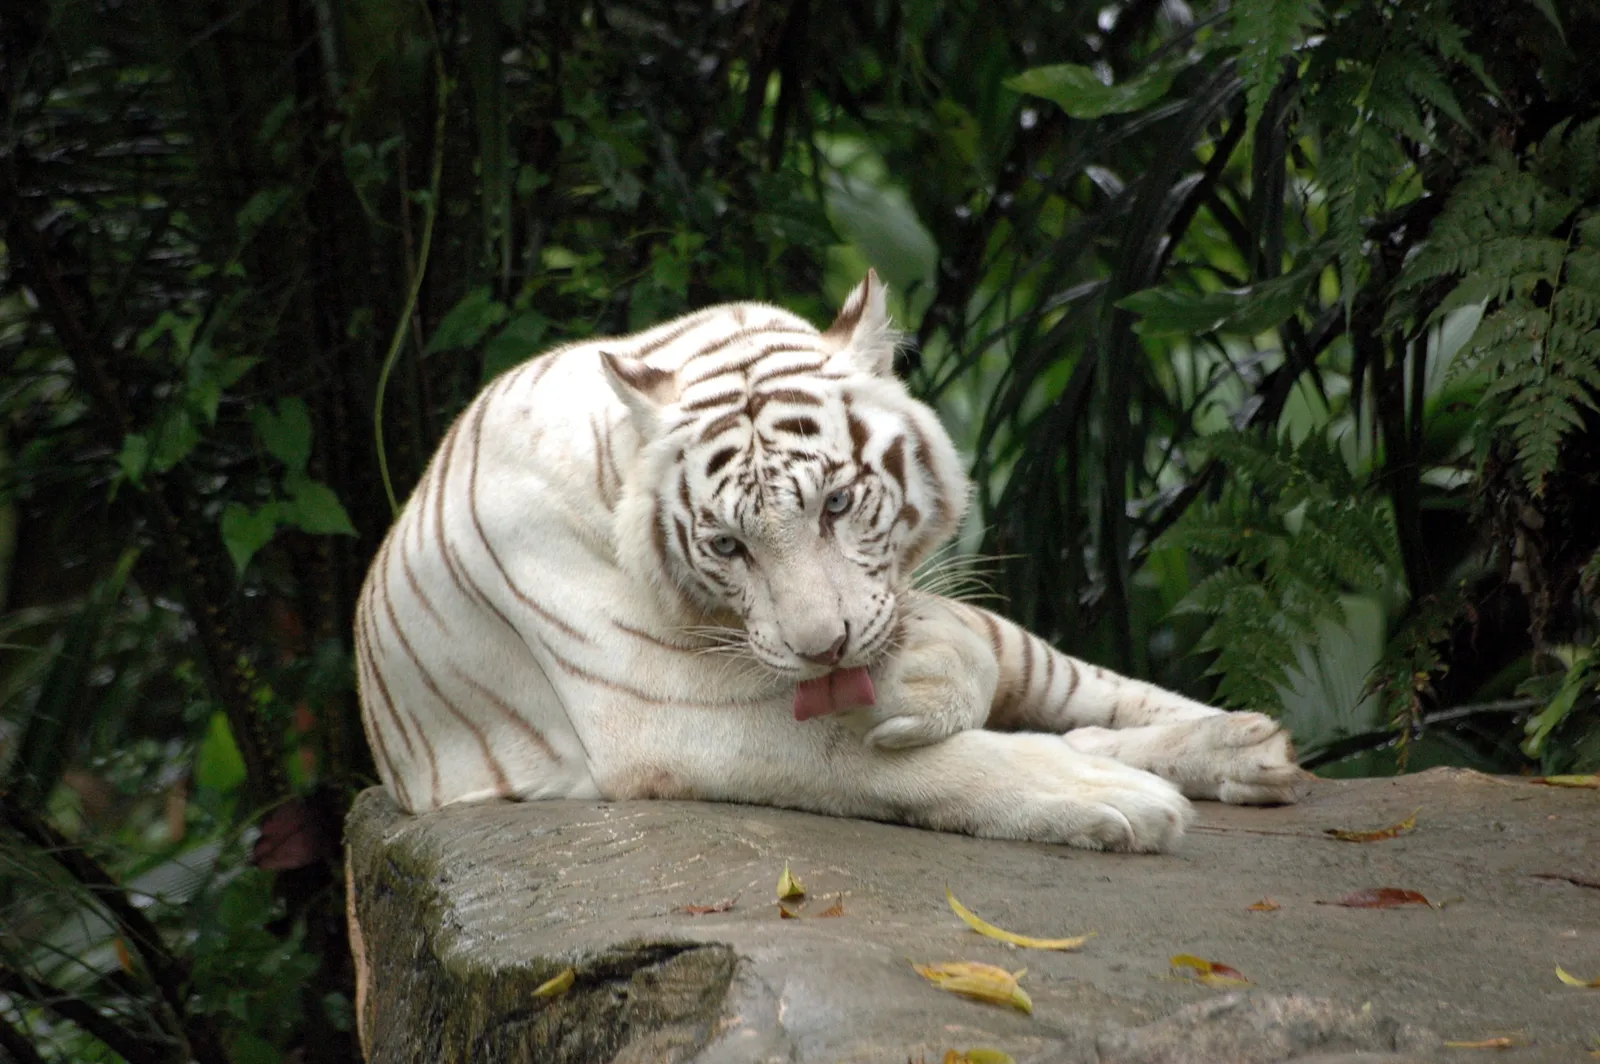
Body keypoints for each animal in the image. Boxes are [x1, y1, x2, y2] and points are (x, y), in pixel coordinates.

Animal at [354, 271, 1305, 854]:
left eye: (837, 505)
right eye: (728, 546)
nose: (824, 649)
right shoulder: (670, 718)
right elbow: (913, 761)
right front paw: (1112, 797)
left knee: (1069, 680)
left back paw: (1246, 745)